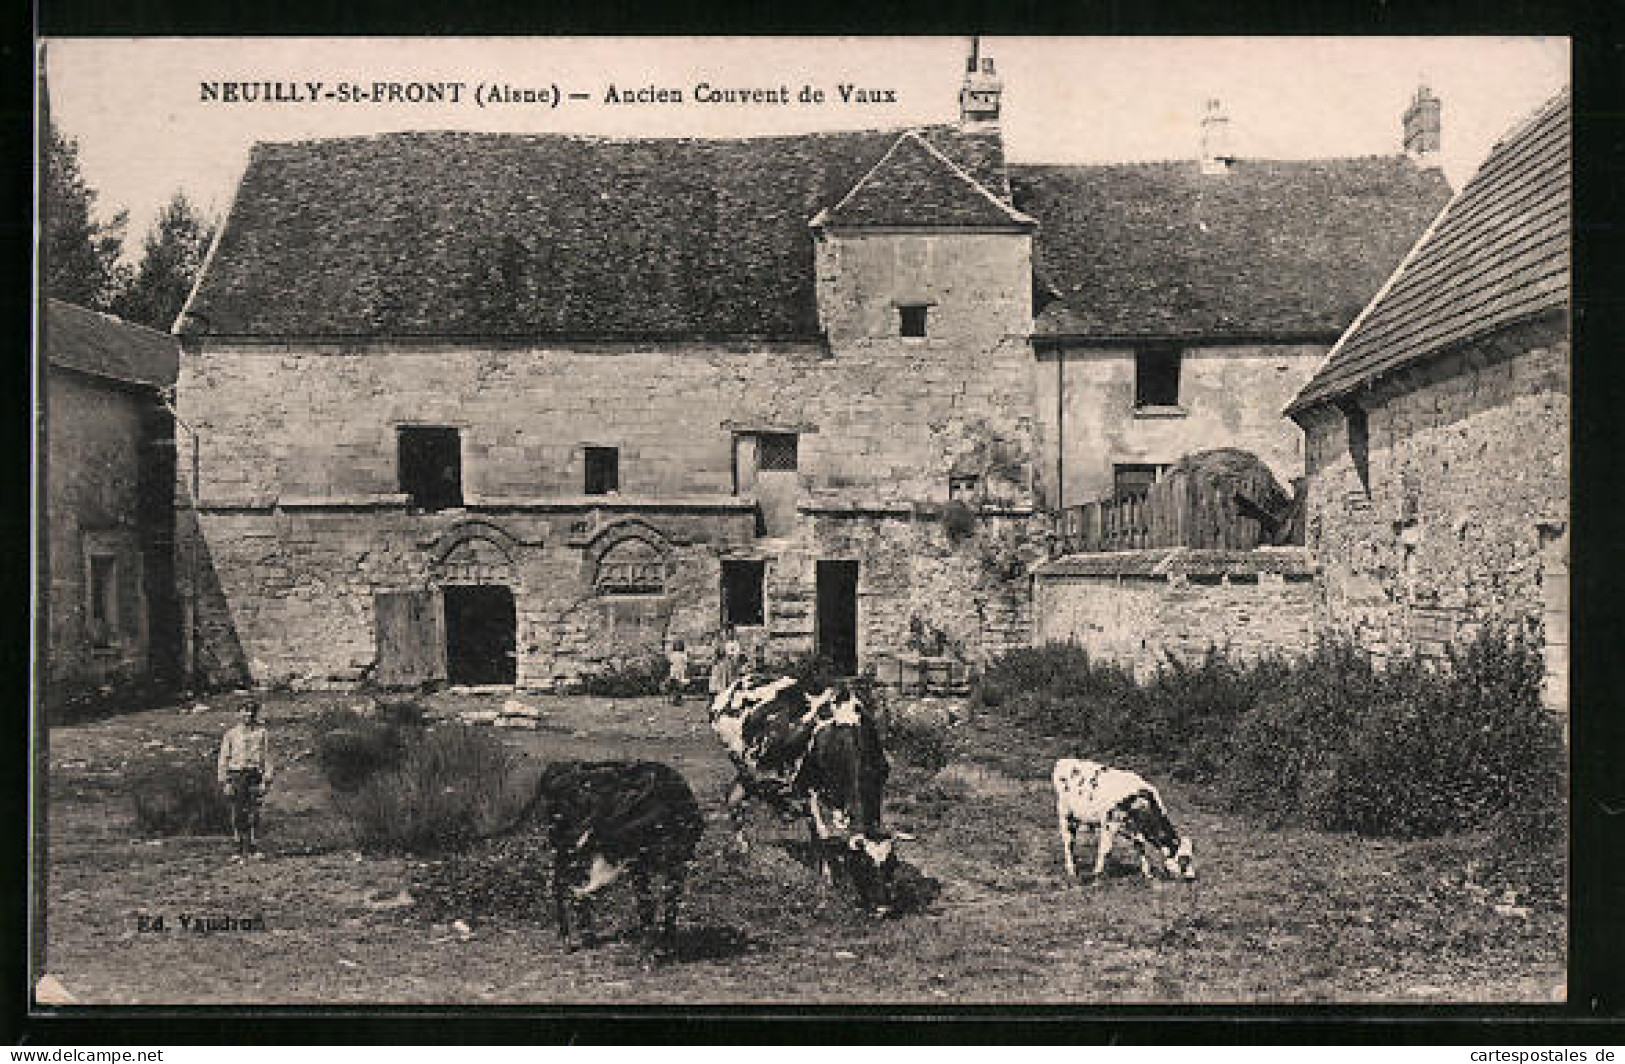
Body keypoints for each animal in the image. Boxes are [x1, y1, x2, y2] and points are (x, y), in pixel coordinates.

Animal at [516, 760, 702, 955]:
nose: (575, 836)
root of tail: (560, 765)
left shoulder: (681, 862)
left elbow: (671, 903)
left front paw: (667, 945)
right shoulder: (637, 864)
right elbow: (645, 903)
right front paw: (648, 947)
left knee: (572, 886)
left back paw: (587, 937)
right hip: (560, 846)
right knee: (560, 886)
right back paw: (567, 939)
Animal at [711, 675, 916, 916]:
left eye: (893, 865)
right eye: (863, 865)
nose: (882, 908)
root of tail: (737, 683)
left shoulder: (878, 782)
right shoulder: (807, 790)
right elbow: (821, 835)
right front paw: (828, 877)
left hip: (750, 769)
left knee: (735, 796)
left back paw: (747, 844)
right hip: (741, 762)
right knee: (738, 799)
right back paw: (750, 841)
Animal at [1053, 760, 1196, 883]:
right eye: (1183, 859)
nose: (1191, 877)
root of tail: (1064, 761)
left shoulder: (1134, 829)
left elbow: (1141, 848)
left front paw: (1148, 874)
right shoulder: (1109, 825)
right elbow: (1105, 850)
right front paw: (1097, 873)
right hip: (1065, 815)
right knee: (1069, 843)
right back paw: (1072, 871)